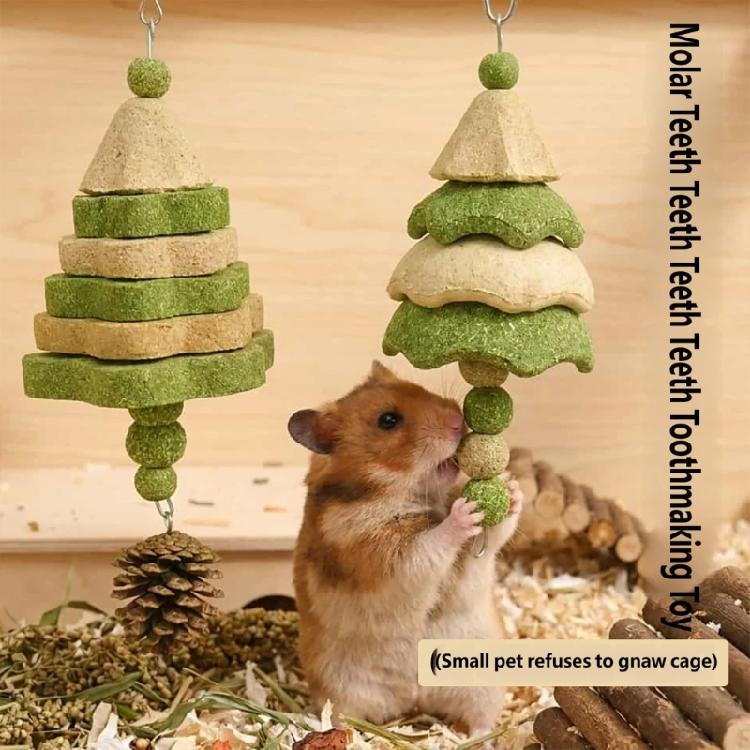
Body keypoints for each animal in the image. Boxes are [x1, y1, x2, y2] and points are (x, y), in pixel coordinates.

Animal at [288, 362, 522, 737]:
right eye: (388, 421)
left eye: (419, 387)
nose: (458, 421)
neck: (405, 493)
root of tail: (414, 698)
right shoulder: (381, 555)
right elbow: (428, 545)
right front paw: (464, 514)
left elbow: (494, 533)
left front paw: (511, 488)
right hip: (340, 691)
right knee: (344, 718)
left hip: (482, 683)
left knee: (480, 718)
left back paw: (483, 738)